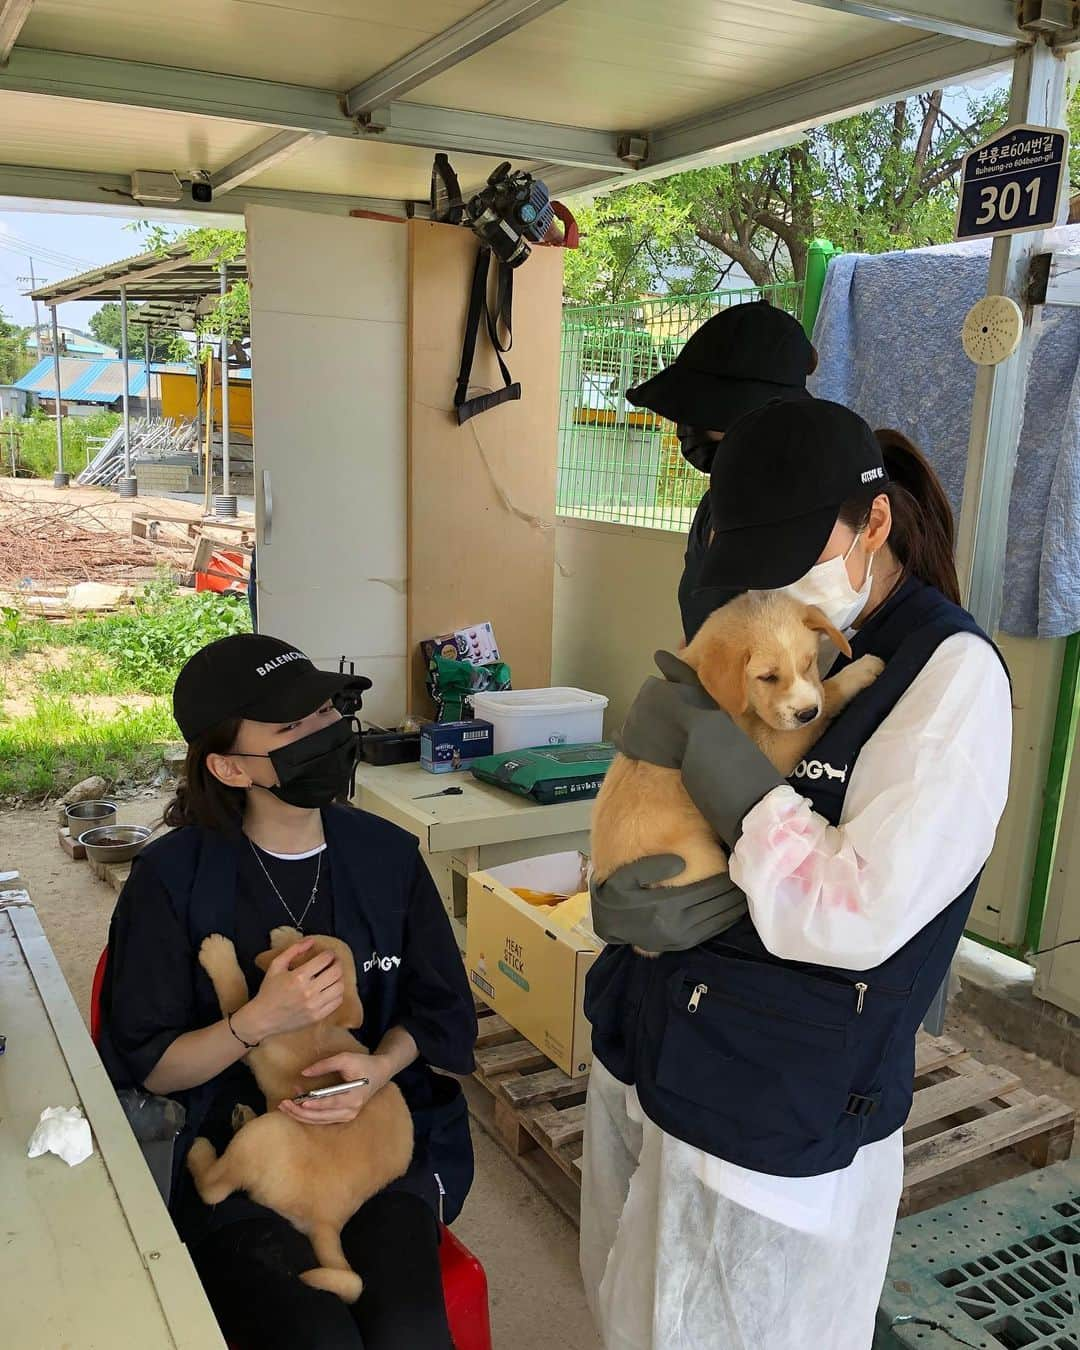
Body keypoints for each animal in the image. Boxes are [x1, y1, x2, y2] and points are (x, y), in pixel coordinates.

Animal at [186, 934, 413, 1301]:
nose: (286, 931)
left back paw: (201, 1151)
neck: (318, 1024)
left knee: (213, 1189)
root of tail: (328, 1221)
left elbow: (236, 997)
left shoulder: (256, 1041)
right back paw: (243, 1115)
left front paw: (219, 954)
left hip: (266, 1134)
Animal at [591, 591, 885, 896]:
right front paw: (863, 669)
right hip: (698, 862)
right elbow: (829, 692)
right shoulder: (770, 748)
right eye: (768, 677)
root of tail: (607, 877)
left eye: (809, 662)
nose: (807, 713)